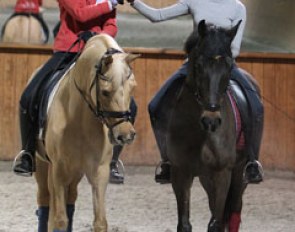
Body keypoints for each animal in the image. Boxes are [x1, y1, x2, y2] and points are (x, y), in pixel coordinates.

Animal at [33, 33, 140, 231]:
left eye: (133, 87)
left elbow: (100, 222)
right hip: (43, 165)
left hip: (75, 172)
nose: (125, 135)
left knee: (70, 199)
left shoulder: (99, 173)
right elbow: (60, 220)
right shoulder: (58, 171)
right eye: (105, 92)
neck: (80, 120)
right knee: (45, 201)